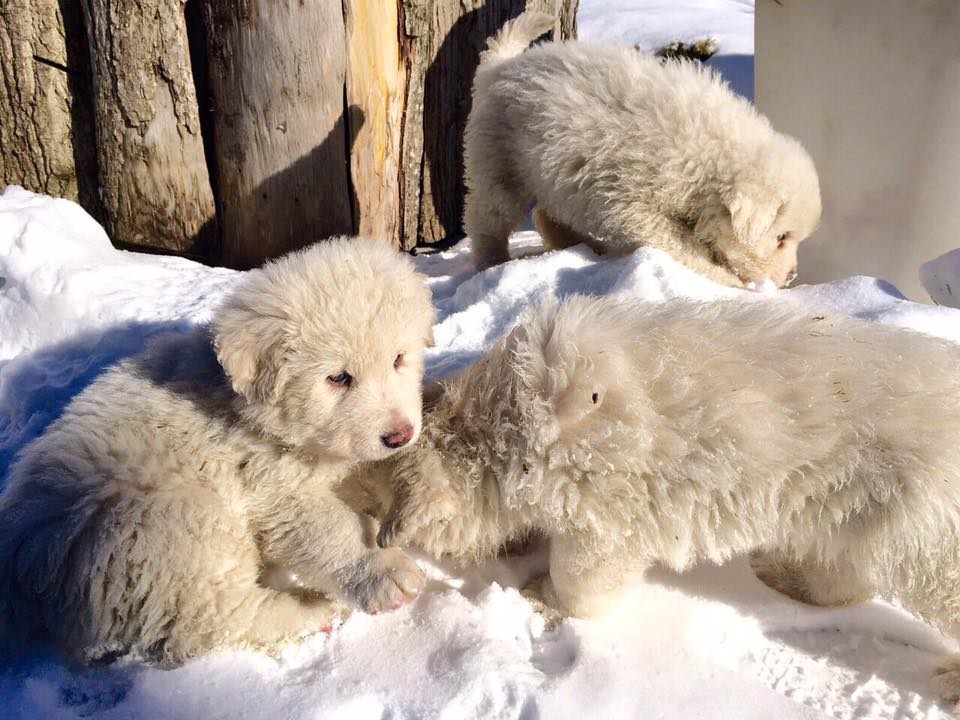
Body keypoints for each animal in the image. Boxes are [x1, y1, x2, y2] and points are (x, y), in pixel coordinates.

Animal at [0, 239, 436, 668]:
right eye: (338, 378)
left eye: (399, 359)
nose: (399, 434)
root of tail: (22, 564)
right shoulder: (274, 488)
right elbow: (329, 529)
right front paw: (383, 572)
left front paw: (413, 506)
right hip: (170, 526)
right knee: (217, 616)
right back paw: (314, 611)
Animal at [376, 292, 960, 696]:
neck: (502, 424)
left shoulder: (601, 499)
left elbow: (586, 571)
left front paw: (543, 597)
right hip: (852, 503)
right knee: (845, 568)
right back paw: (785, 574)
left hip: (927, 532)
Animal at [462, 11, 820, 286]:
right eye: (781, 237)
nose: (791, 276)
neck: (711, 154)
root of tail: (500, 67)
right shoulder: (635, 205)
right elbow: (684, 247)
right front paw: (729, 281)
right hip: (499, 165)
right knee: (488, 219)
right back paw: (493, 263)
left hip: (556, 174)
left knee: (547, 215)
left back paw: (586, 247)